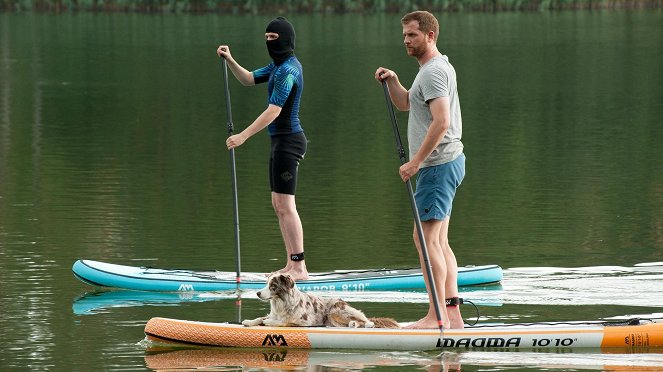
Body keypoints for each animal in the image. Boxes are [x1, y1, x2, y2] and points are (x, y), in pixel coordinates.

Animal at [244, 270, 400, 328]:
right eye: (266, 284)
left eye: (273, 286)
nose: (258, 293)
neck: (281, 303)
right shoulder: (273, 313)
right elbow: (261, 317)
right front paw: (249, 321)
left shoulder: (305, 322)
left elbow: (283, 321)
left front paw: (269, 322)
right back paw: (353, 324)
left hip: (336, 311)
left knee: (366, 320)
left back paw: (364, 324)